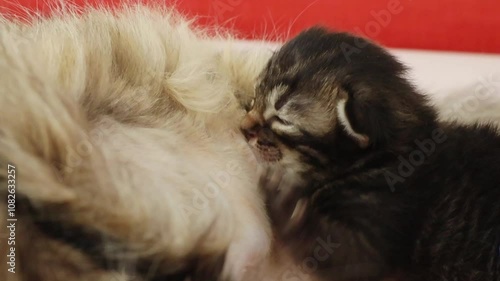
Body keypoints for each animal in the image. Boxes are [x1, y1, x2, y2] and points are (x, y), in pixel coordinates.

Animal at [240, 26, 498, 280]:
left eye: (282, 120)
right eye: (255, 97)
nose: (243, 128)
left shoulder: (381, 228)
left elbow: (336, 251)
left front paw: (281, 197)